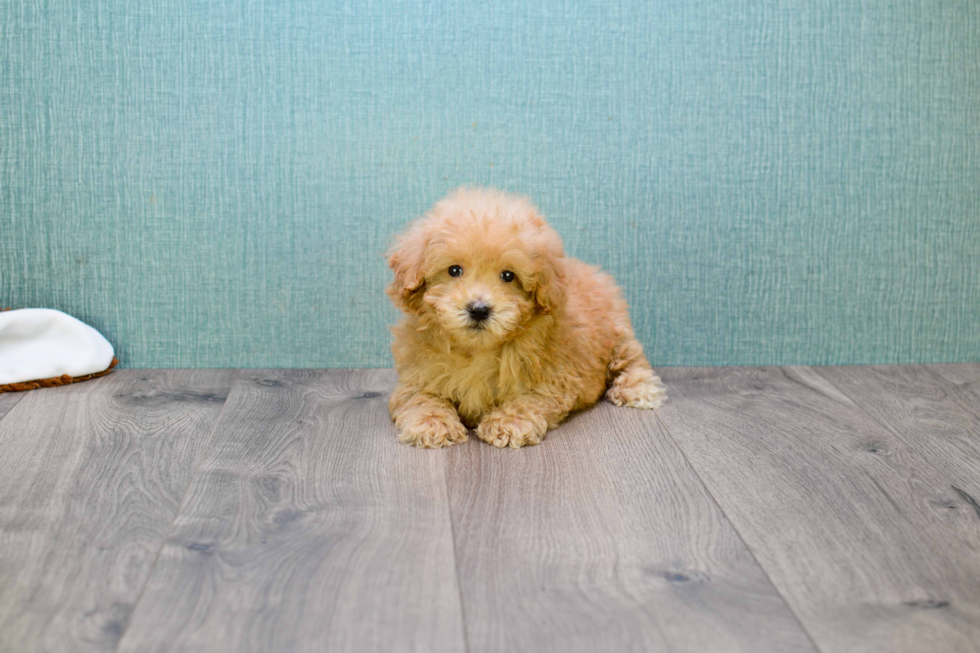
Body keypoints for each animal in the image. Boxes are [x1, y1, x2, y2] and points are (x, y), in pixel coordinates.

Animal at [388, 186, 668, 446]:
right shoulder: (417, 374)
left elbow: (529, 399)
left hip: (618, 332)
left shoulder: (554, 379)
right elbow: (420, 397)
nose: (479, 309)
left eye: (508, 276)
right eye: (454, 270)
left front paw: (507, 422)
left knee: (632, 360)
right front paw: (432, 424)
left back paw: (639, 388)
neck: (476, 350)